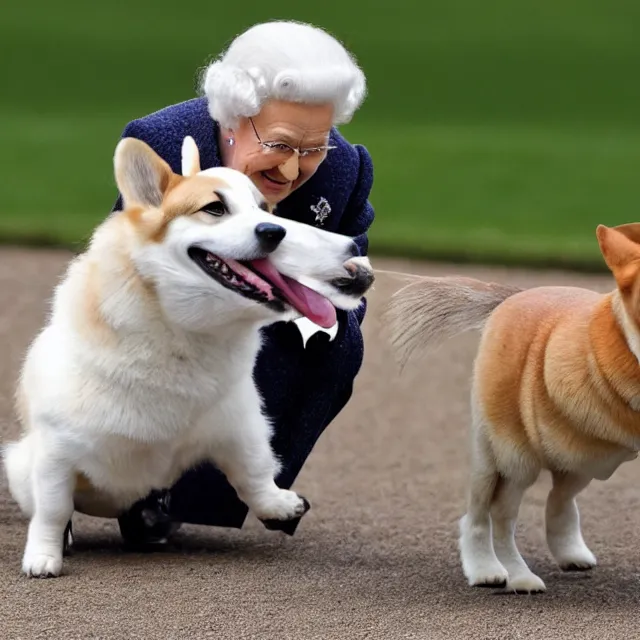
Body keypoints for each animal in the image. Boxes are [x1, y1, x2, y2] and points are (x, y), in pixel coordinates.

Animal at [382, 225, 640, 596]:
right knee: (489, 518)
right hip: (506, 459)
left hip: (584, 459)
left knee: (558, 499)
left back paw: (570, 553)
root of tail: (511, 299)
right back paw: (498, 572)